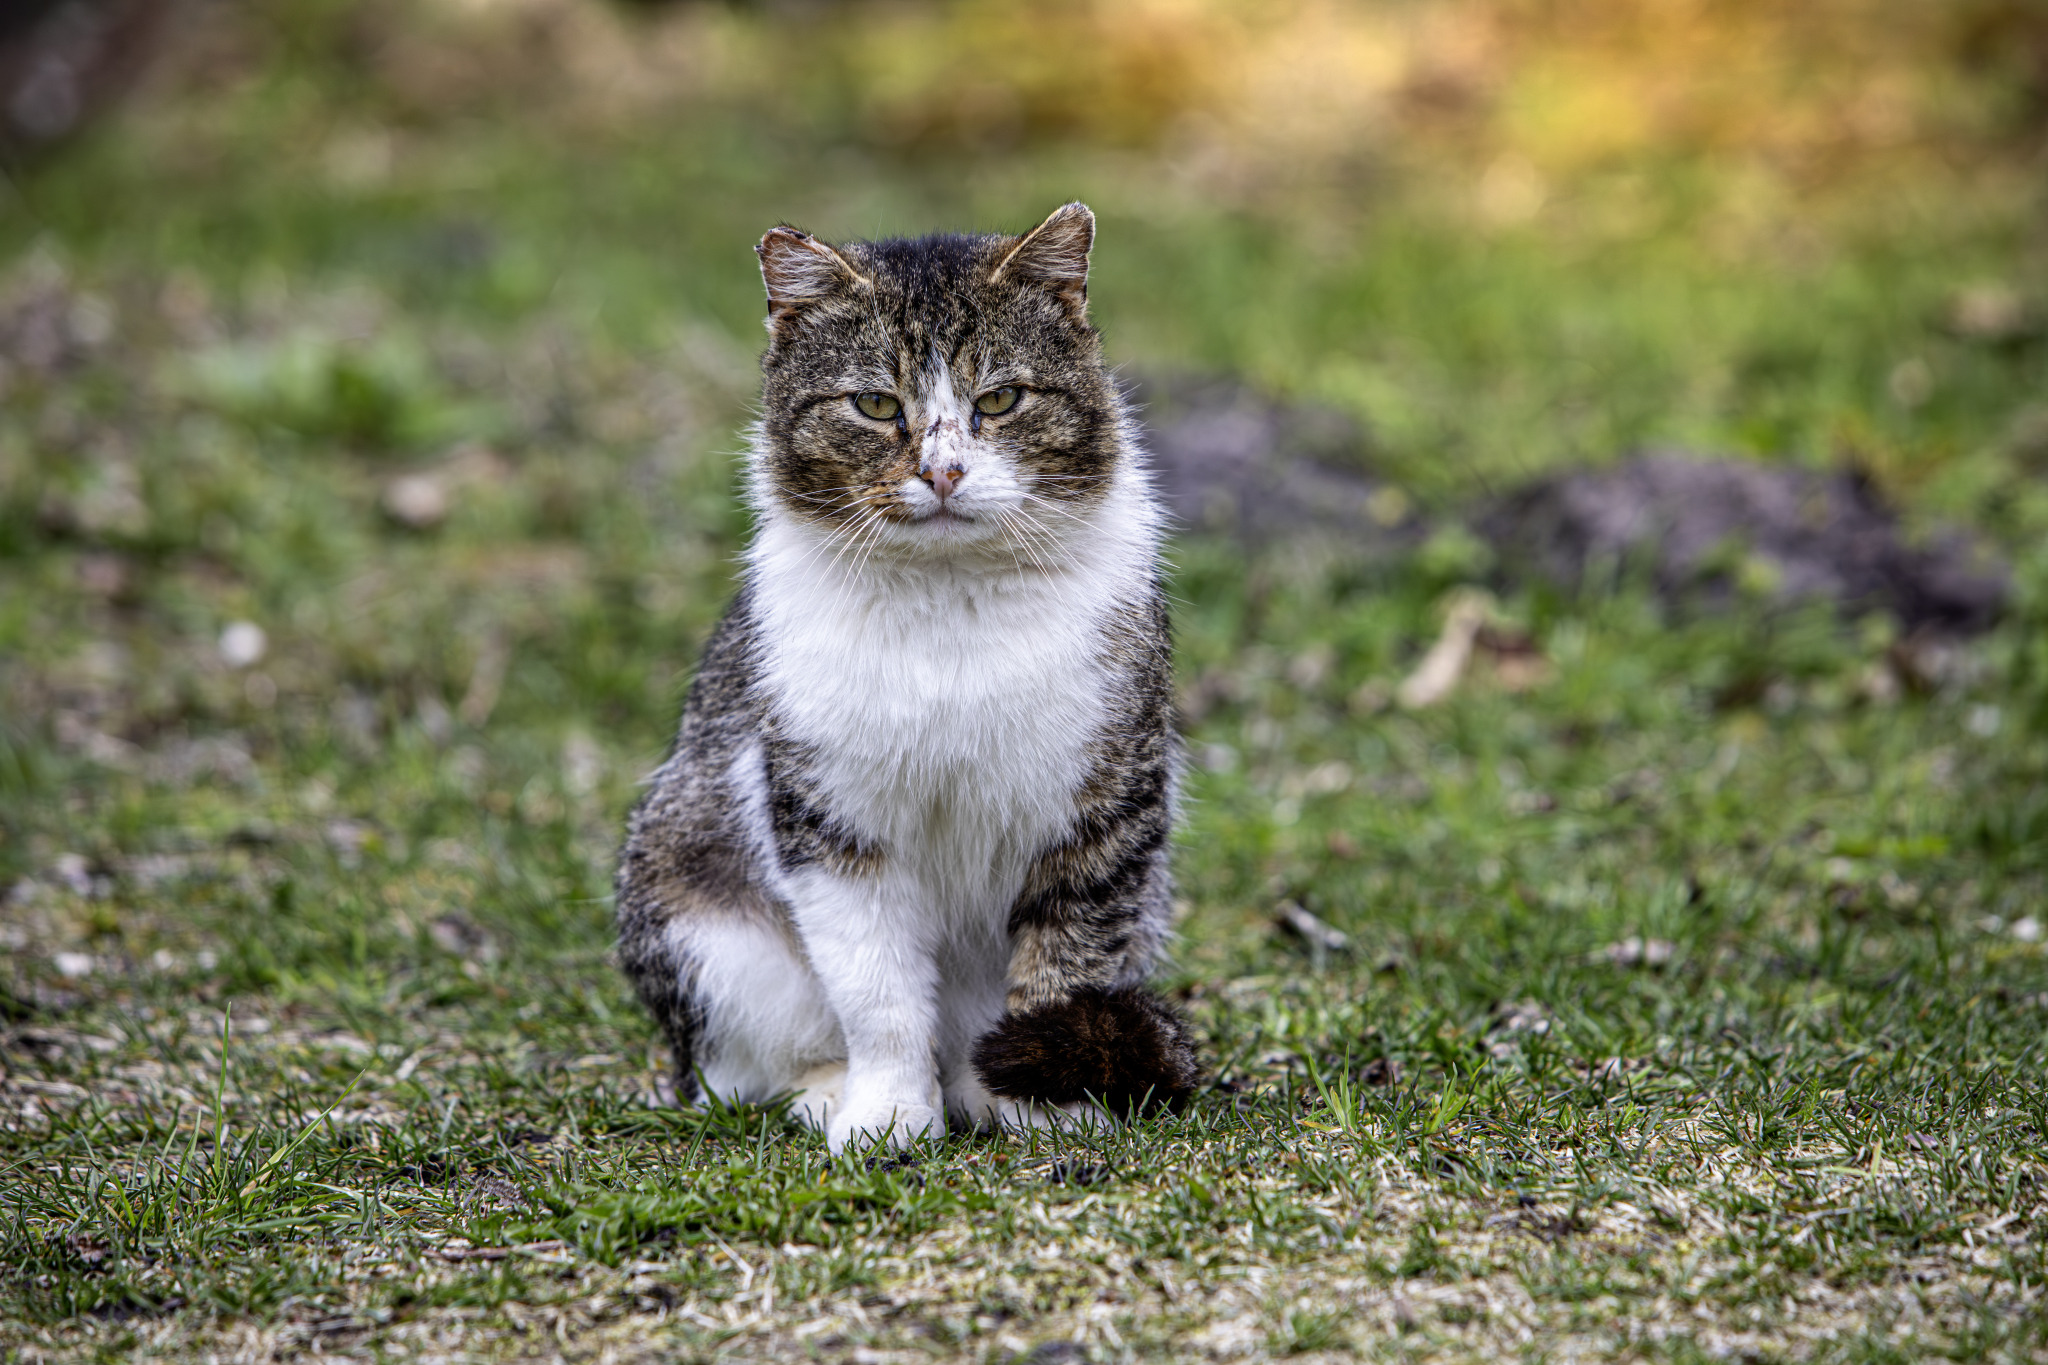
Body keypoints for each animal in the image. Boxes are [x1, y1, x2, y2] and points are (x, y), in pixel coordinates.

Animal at [610, 202, 1196, 1154]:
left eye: (1000, 399)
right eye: (876, 404)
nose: (944, 470)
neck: (949, 601)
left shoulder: (1106, 812)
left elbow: (1064, 967)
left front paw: (1042, 1102)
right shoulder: (832, 822)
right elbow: (877, 991)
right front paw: (886, 1114)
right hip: (698, 915)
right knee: (729, 1073)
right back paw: (829, 1091)